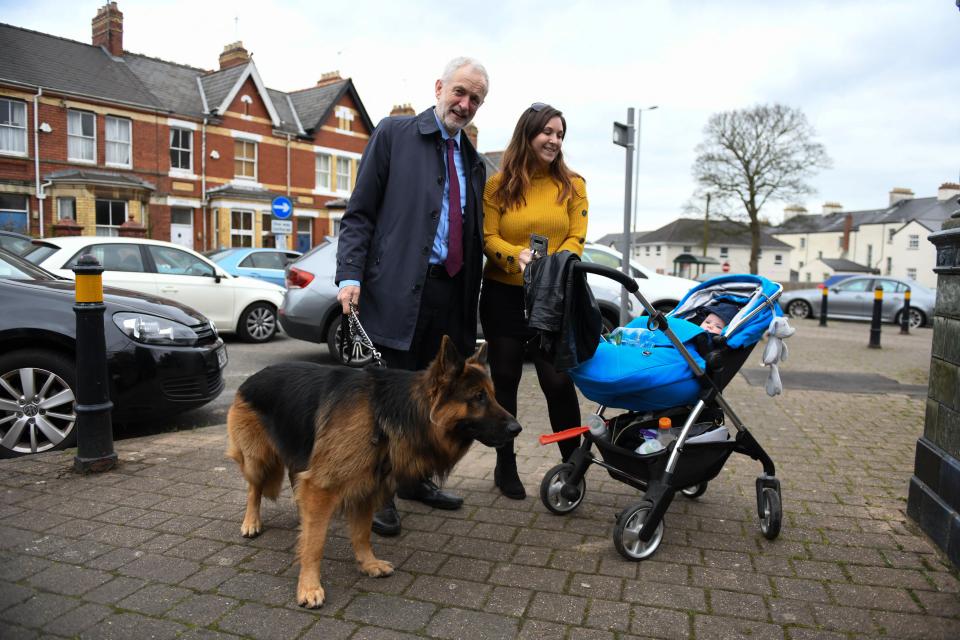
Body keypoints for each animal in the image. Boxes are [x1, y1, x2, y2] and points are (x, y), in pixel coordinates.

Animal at [226, 338, 520, 608]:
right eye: (478, 397)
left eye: (493, 394)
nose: (517, 429)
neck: (386, 414)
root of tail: (252, 378)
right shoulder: (323, 484)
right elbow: (315, 543)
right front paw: (309, 586)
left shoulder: (367, 485)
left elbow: (362, 533)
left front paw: (367, 563)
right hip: (258, 459)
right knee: (254, 488)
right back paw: (251, 522)